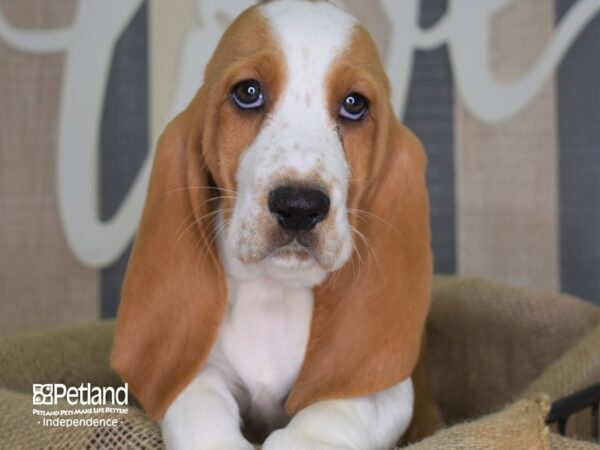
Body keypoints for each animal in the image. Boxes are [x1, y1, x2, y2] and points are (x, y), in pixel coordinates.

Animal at [111, 0, 432, 450]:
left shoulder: (389, 390)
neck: (274, 290)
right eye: (248, 93)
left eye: (354, 104)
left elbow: (335, 406)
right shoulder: (197, 371)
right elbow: (200, 401)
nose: (299, 206)